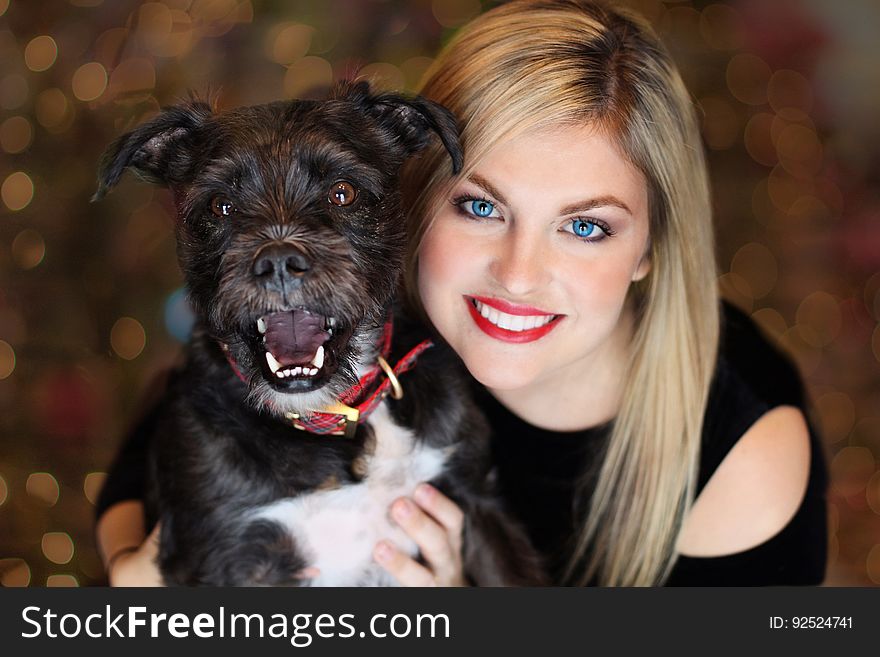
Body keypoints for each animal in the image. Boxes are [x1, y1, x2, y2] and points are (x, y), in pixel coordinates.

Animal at [93, 80, 540, 584]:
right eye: (220, 205)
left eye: (342, 193)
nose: (277, 262)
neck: (335, 418)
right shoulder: (221, 554)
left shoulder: (477, 502)